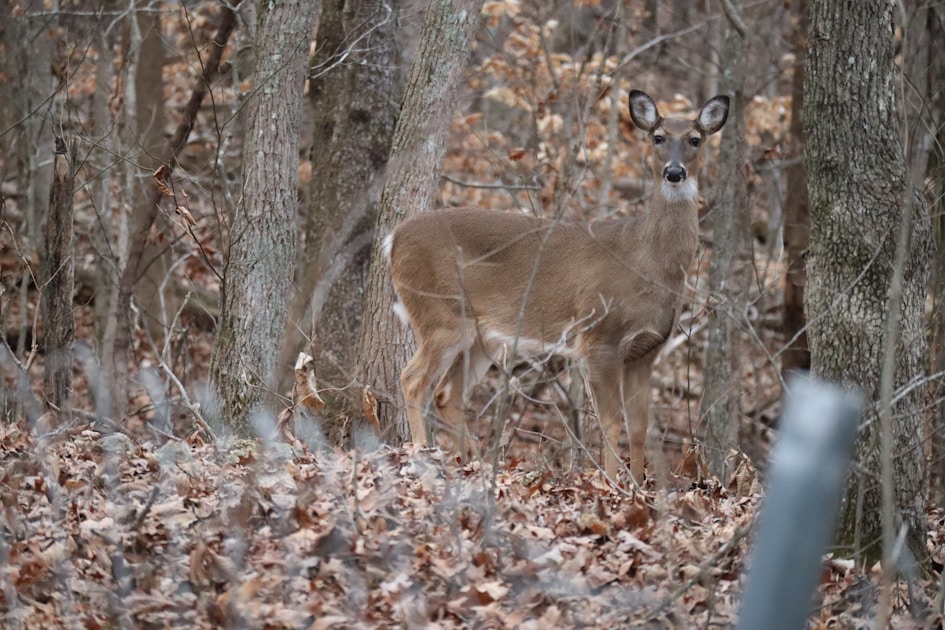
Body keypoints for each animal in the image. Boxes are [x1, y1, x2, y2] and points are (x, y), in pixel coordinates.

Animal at [386, 90, 729, 483]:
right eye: (657, 137)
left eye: (695, 139)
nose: (674, 172)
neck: (648, 263)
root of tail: (393, 239)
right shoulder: (599, 339)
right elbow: (611, 422)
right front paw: (613, 484)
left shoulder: (646, 351)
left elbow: (639, 428)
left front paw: (639, 488)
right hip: (440, 312)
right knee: (413, 379)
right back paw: (423, 454)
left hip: (482, 336)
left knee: (447, 394)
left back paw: (476, 462)